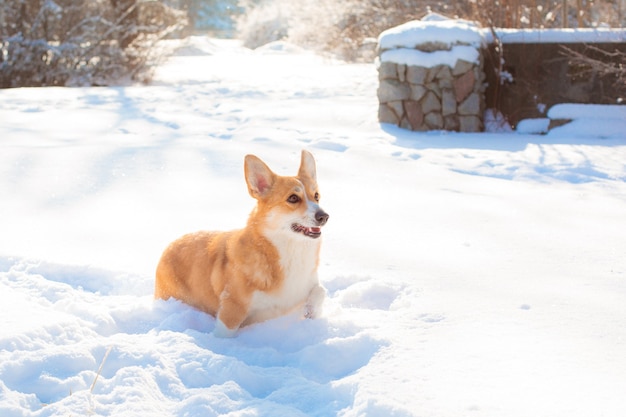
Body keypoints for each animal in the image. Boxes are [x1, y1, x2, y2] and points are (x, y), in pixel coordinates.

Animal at [154, 151, 330, 336]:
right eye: (293, 198)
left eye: (316, 196)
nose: (324, 216)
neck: (291, 251)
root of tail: (170, 245)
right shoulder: (232, 309)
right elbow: (223, 335)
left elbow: (320, 290)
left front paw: (311, 310)